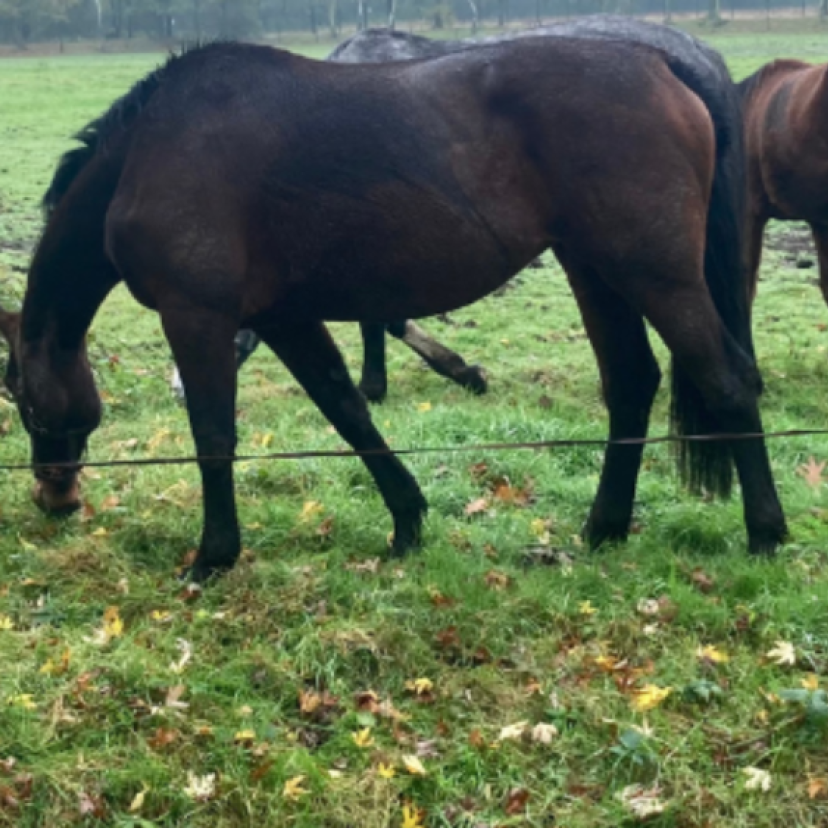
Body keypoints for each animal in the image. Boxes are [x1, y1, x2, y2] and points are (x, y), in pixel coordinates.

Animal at [0, 34, 787, 581]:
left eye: (16, 391)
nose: (53, 496)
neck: (151, 151)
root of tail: (662, 64)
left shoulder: (197, 316)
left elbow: (213, 435)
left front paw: (212, 557)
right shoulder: (285, 316)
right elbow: (347, 410)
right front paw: (407, 522)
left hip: (655, 273)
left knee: (726, 380)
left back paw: (767, 534)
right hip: (595, 269)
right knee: (631, 384)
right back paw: (603, 529)